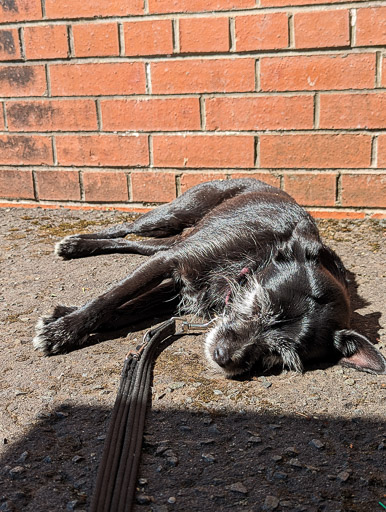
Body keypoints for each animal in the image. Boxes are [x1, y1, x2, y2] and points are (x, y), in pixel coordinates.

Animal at [33, 179, 386, 376]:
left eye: (280, 355)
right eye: (259, 304)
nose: (223, 358)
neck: (256, 258)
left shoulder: (175, 287)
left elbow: (124, 309)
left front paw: (62, 317)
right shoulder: (171, 262)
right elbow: (111, 298)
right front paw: (62, 332)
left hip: (171, 238)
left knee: (137, 243)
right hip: (171, 215)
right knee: (125, 229)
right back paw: (75, 244)